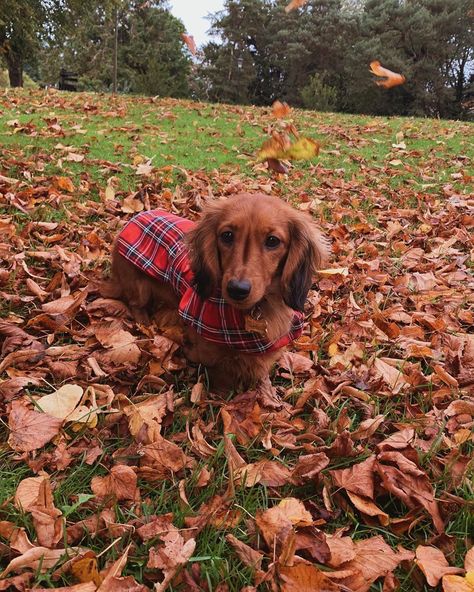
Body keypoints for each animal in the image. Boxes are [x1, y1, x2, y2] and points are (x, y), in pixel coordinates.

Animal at [105, 192, 330, 390]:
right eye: (227, 235)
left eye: (273, 240)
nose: (237, 289)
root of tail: (135, 218)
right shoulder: (208, 349)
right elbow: (220, 374)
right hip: (139, 286)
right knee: (136, 304)